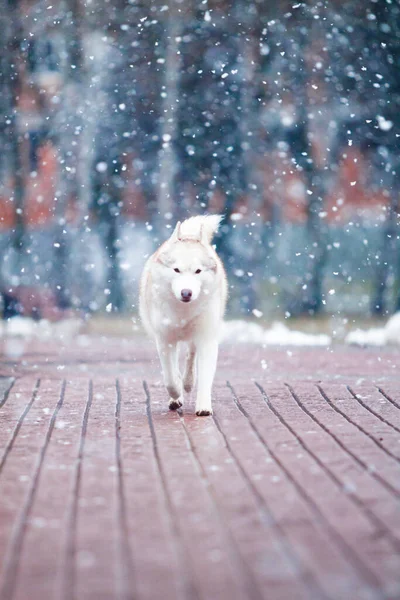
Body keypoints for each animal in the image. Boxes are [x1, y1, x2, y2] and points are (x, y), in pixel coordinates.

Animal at [140, 216, 228, 418]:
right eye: (176, 270)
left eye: (198, 271)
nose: (186, 292)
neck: (183, 313)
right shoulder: (165, 340)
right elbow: (170, 378)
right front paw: (176, 394)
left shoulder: (207, 339)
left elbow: (205, 376)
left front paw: (203, 406)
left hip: (194, 338)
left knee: (190, 357)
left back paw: (188, 383)